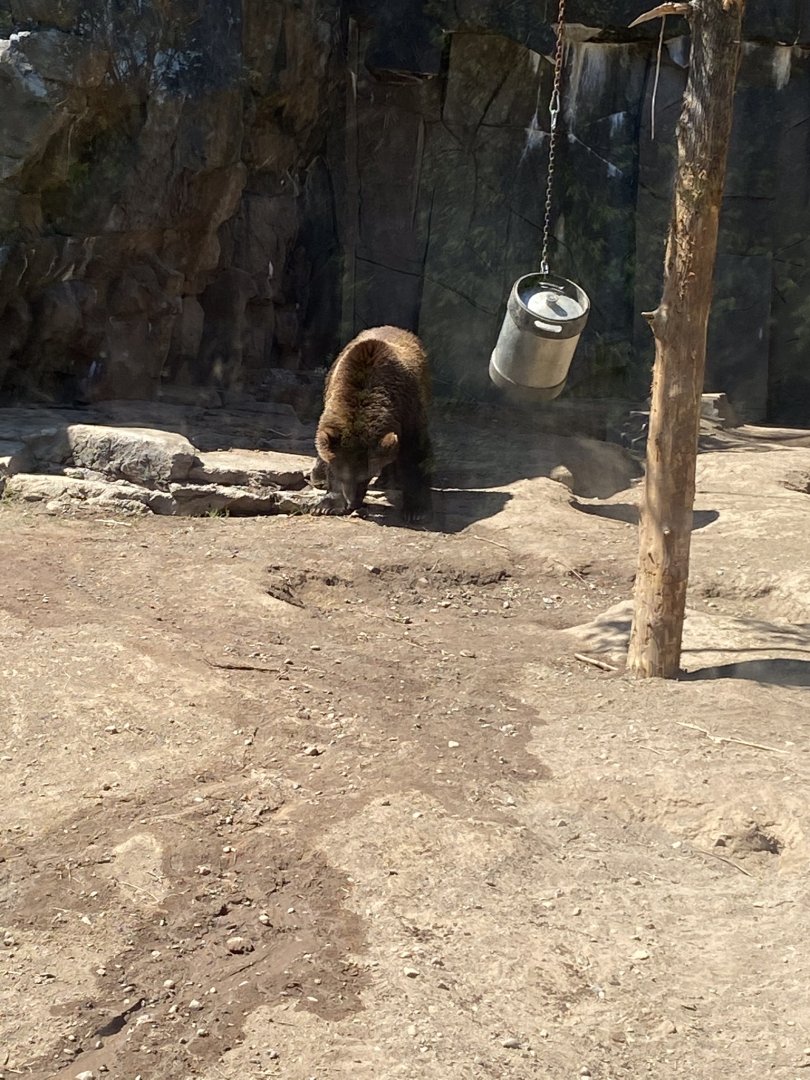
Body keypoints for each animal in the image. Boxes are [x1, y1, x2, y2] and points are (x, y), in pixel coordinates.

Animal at [310, 326, 433, 522]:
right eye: (343, 475)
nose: (352, 503)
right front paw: (327, 505)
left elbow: (415, 455)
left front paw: (416, 509)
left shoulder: (408, 413)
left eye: (365, 476)